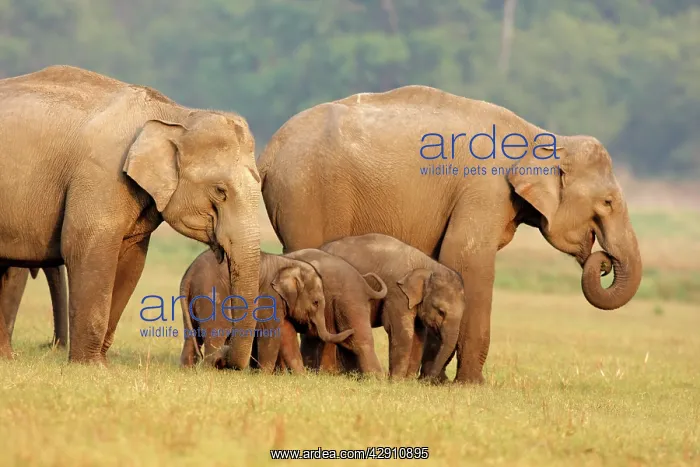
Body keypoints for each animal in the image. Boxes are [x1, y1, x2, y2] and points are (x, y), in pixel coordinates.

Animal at [0, 65, 261, 365]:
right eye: (220, 191)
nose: (221, 359)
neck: (175, 114)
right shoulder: (101, 176)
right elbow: (83, 246)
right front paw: (90, 366)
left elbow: (131, 260)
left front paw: (102, 364)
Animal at [179, 249, 353, 372]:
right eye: (316, 303)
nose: (351, 331)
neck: (290, 264)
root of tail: (189, 274)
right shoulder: (269, 297)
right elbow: (271, 333)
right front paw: (264, 376)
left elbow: (287, 334)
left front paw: (302, 376)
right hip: (212, 295)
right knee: (217, 333)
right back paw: (211, 371)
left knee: (192, 336)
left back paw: (187, 371)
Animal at [319, 233, 466, 380]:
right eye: (441, 311)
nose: (427, 379)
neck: (427, 265)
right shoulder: (396, 293)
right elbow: (401, 331)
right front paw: (396, 380)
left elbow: (419, 335)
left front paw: (408, 380)